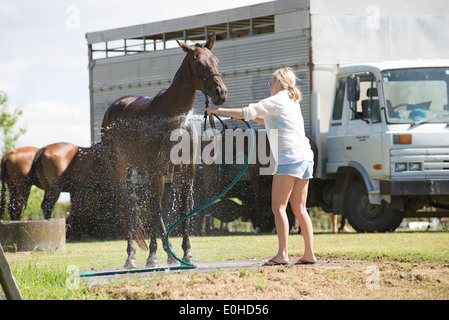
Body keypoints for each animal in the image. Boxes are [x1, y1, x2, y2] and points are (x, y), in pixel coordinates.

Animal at [102, 33, 228, 268]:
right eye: (197, 61)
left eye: (216, 60)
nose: (220, 92)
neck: (174, 119)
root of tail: (116, 105)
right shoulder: (156, 172)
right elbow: (155, 211)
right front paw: (152, 256)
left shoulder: (185, 173)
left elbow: (182, 211)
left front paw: (186, 253)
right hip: (120, 170)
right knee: (129, 208)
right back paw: (131, 257)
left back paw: (170, 255)